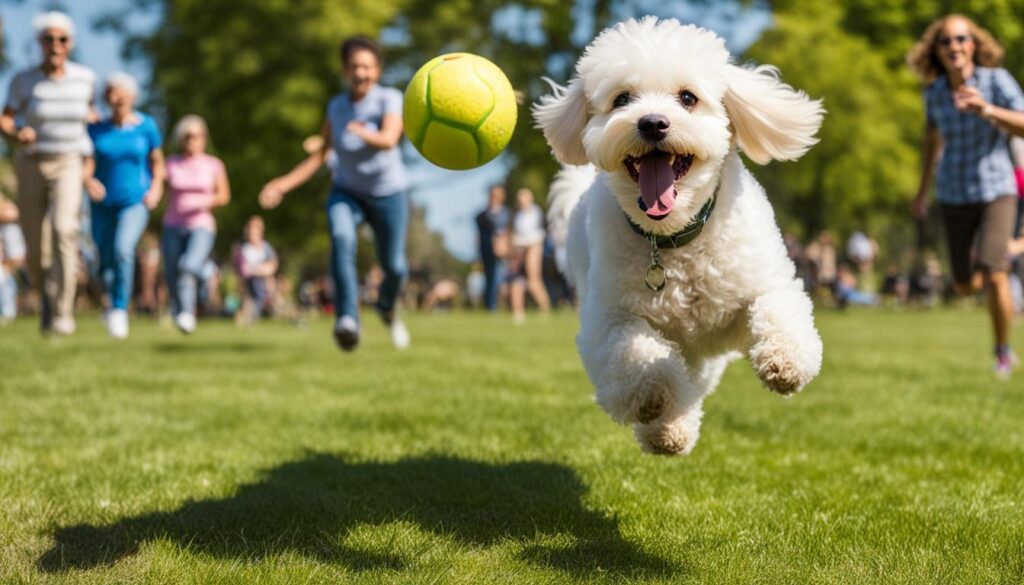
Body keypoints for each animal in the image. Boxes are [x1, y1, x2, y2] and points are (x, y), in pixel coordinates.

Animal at [536, 17, 823, 456]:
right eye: (622, 99)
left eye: (688, 98)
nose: (652, 122)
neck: (673, 239)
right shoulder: (609, 319)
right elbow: (637, 355)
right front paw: (653, 394)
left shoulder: (760, 284)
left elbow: (776, 309)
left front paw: (784, 361)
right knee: (679, 379)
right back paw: (667, 428)